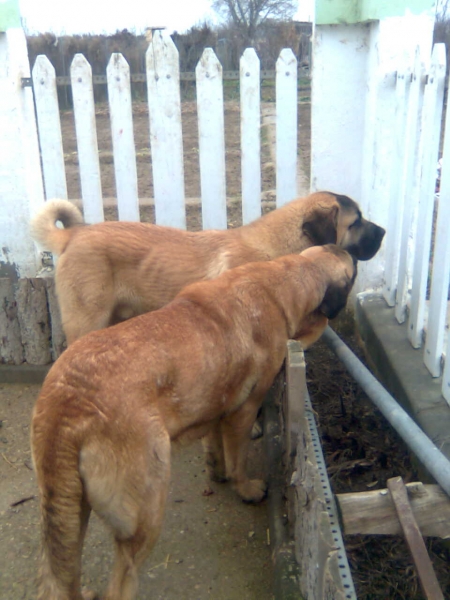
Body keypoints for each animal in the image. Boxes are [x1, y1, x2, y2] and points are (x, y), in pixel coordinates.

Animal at [30, 245, 356, 600]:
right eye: (353, 274)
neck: (285, 279)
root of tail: (67, 402)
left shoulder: (214, 404)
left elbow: (215, 446)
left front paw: (217, 470)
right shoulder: (244, 410)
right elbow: (238, 458)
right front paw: (246, 488)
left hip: (69, 513)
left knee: (61, 578)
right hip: (145, 510)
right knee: (119, 583)